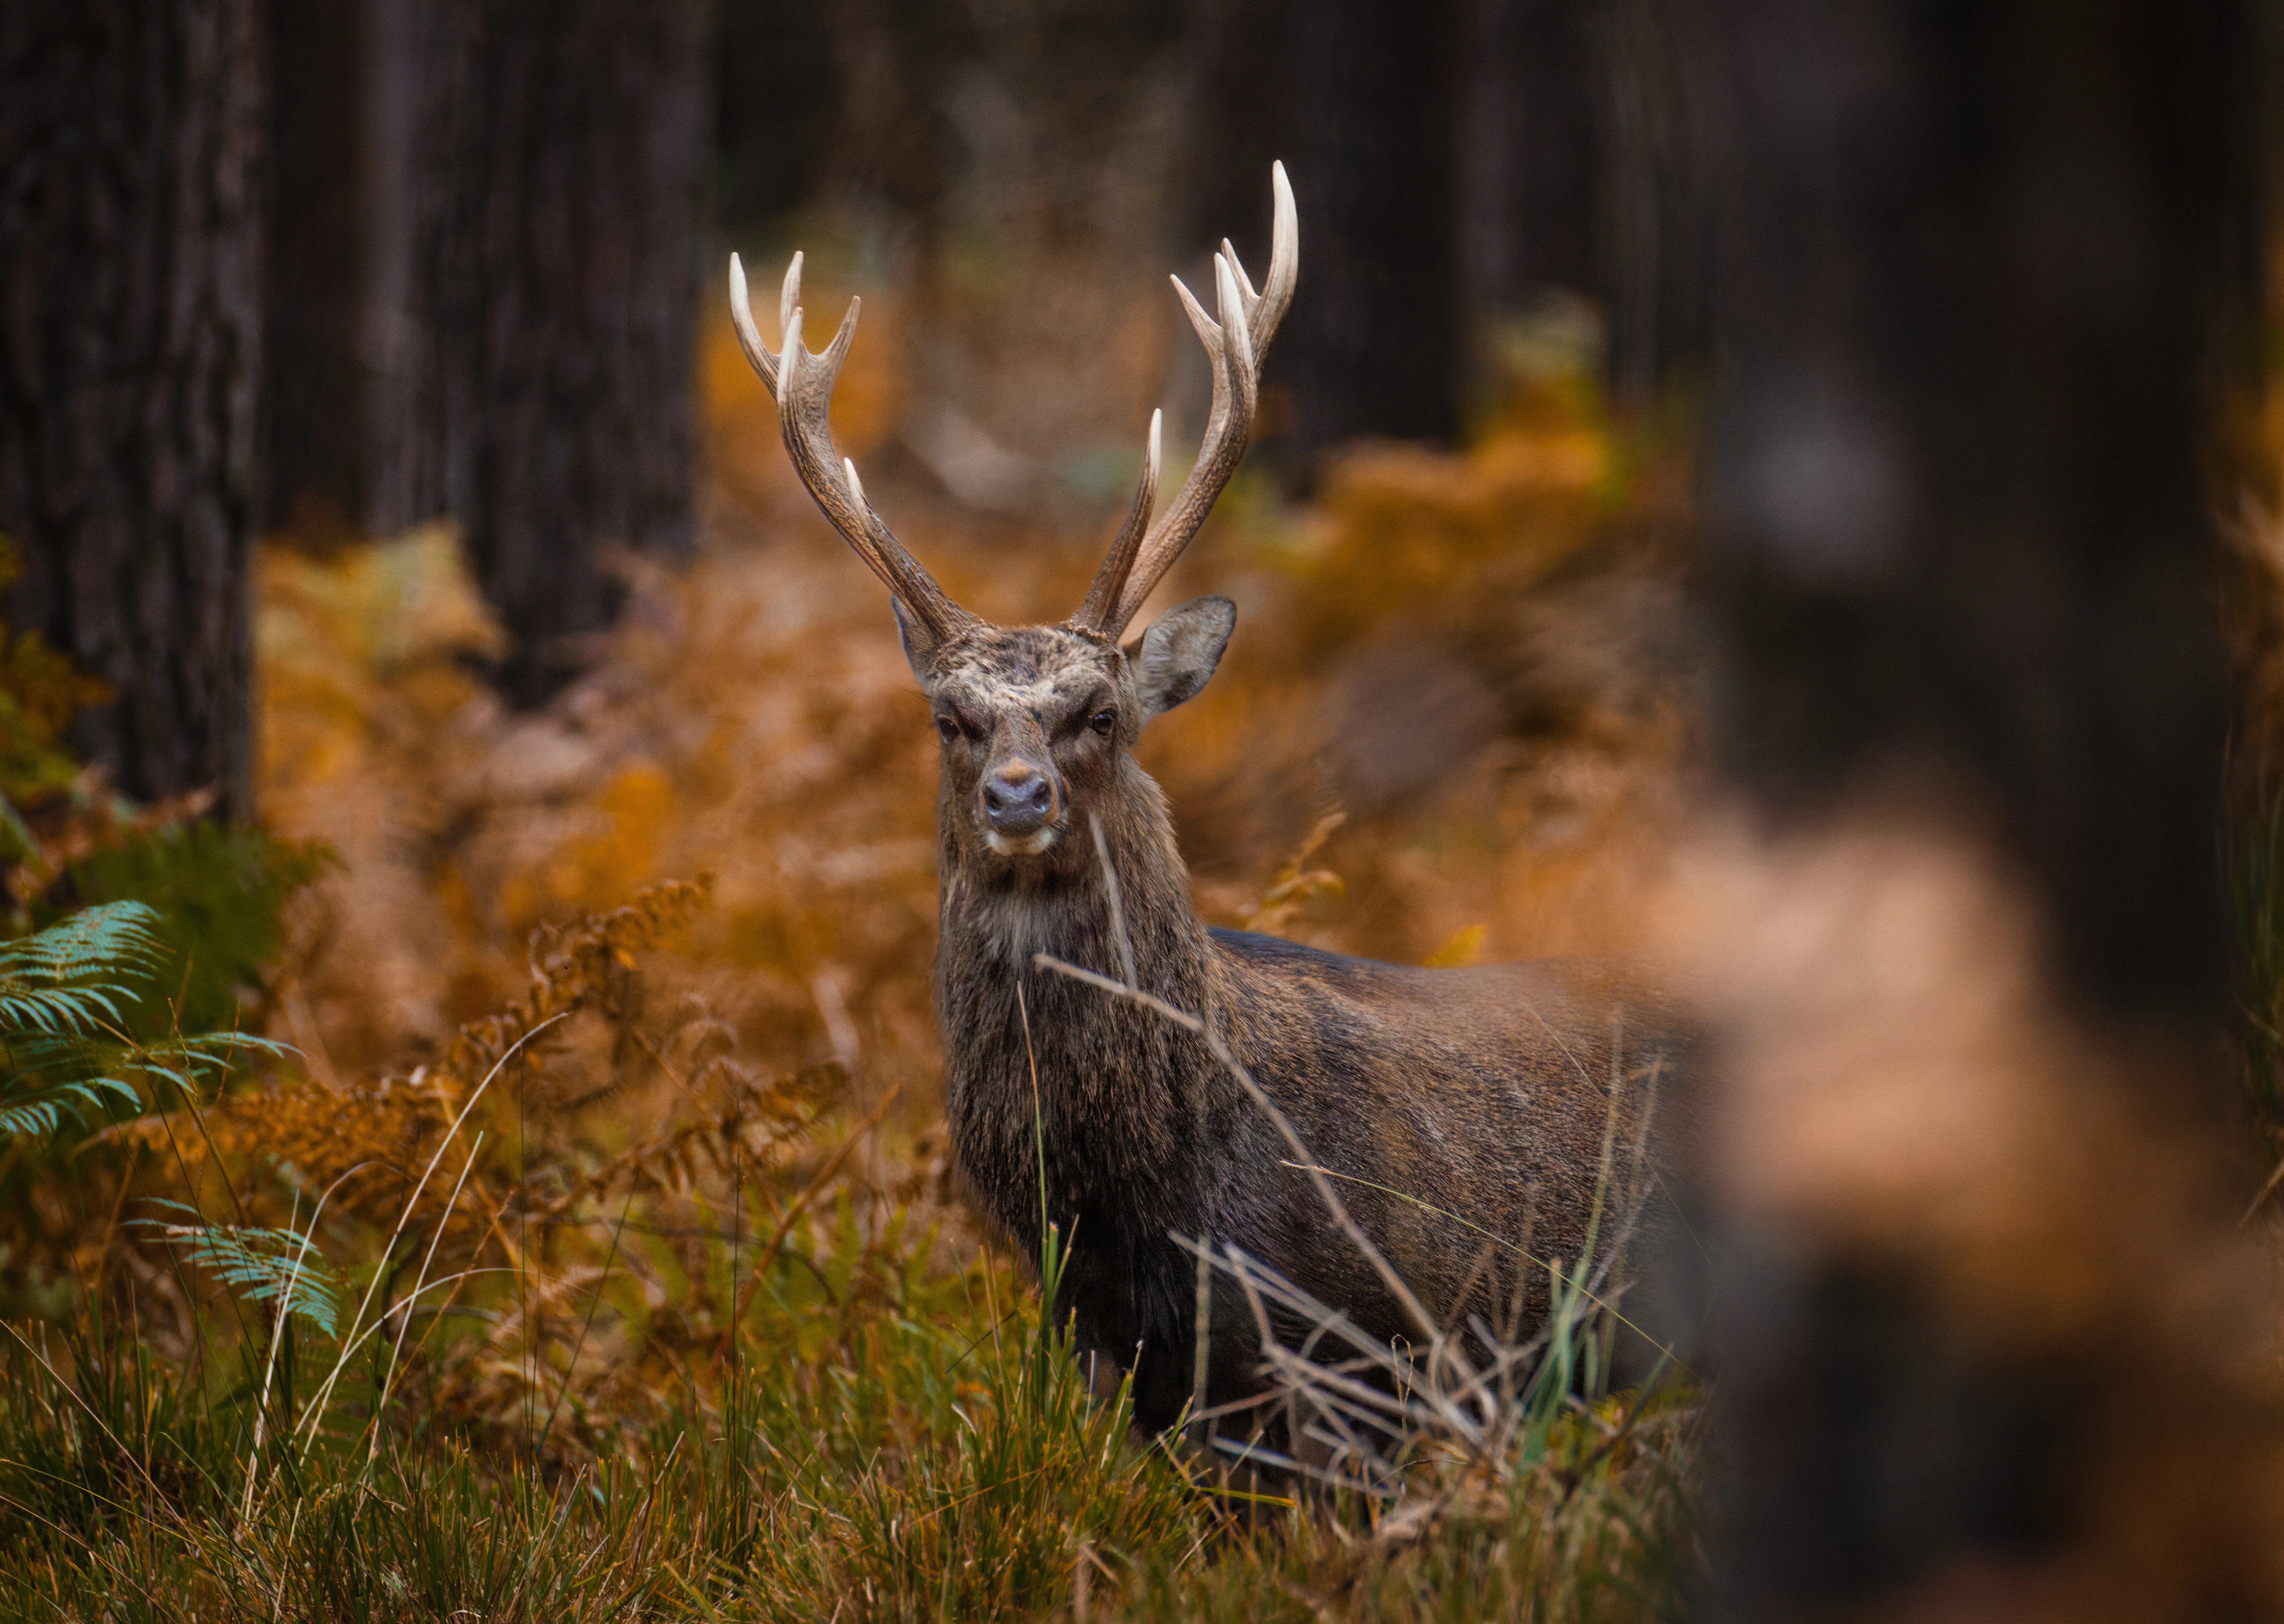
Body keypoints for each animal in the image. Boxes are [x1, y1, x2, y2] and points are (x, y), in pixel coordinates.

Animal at [727, 164, 1692, 1446]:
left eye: (1098, 710)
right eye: (950, 717)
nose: (1017, 793)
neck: (1147, 1201)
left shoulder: (1369, 1360)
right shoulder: (1134, 1371)